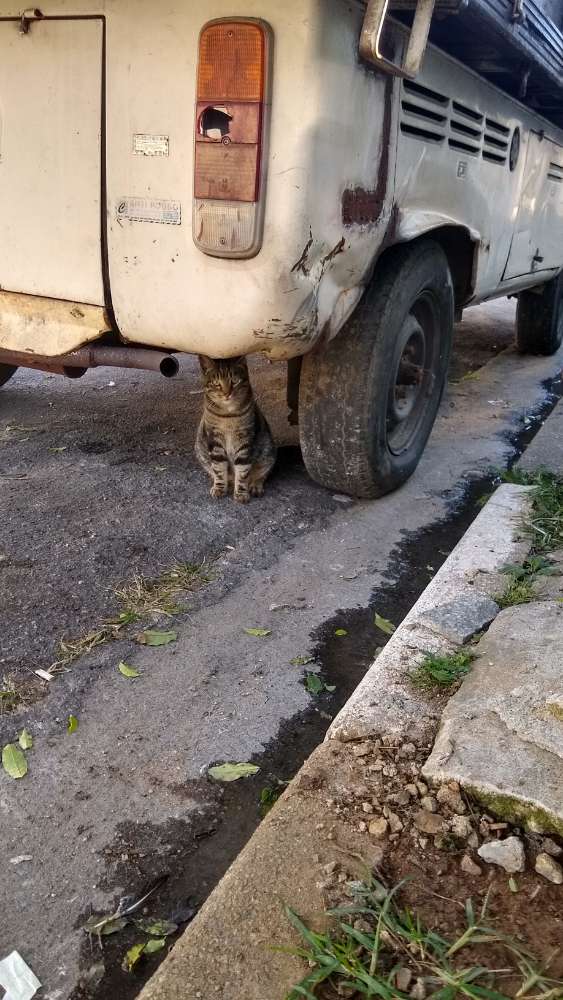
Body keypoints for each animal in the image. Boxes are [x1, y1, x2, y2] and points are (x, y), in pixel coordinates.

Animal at [195, 355, 277, 503]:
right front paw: (219, 488)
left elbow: (243, 471)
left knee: (261, 475)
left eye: (234, 381)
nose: (227, 393)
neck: (228, 415)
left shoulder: (245, 440)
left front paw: (241, 493)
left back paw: (255, 486)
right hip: (201, 453)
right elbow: (218, 468)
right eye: (216, 383)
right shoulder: (215, 439)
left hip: (268, 454)